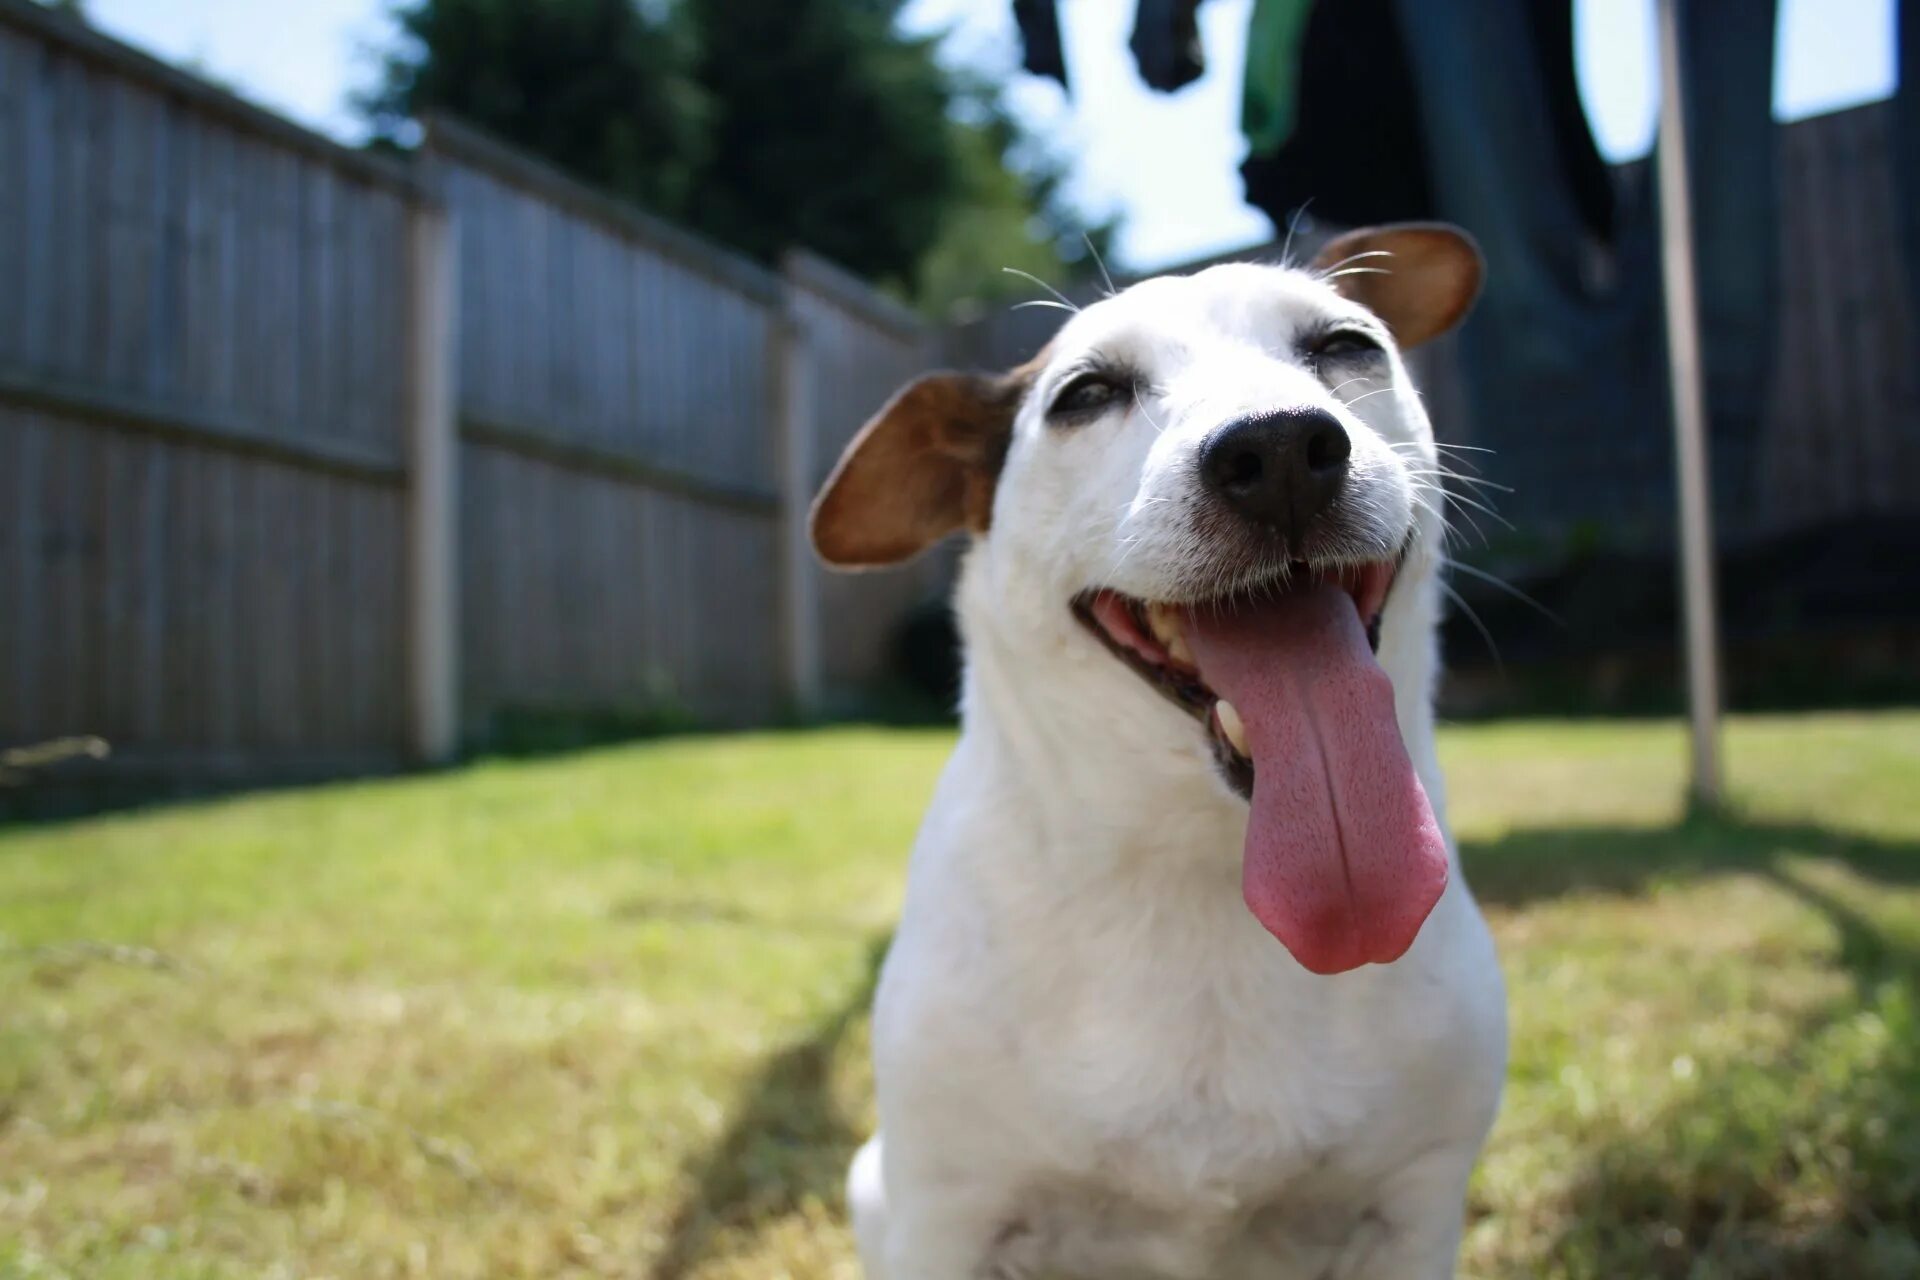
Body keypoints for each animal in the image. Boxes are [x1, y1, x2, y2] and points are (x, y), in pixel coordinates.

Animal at [810, 225, 1497, 1274]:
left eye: (1347, 345)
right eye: (1085, 395)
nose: (1280, 448)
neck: (1203, 867)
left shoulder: (1413, 1211)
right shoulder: (948, 1213)